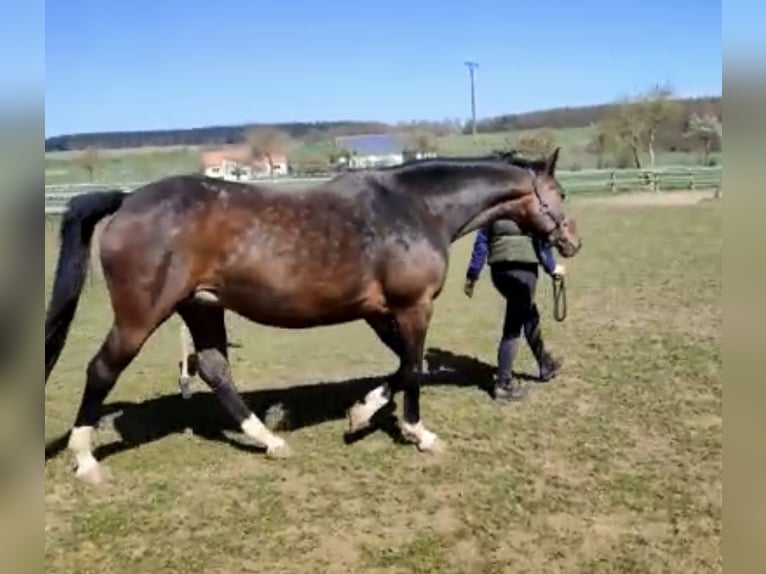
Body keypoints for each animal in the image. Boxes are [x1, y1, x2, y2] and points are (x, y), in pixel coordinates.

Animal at [44, 148, 581, 485]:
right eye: (560, 193)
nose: (572, 242)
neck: (415, 208)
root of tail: (127, 200)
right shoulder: (413, 305)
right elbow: (413, 368)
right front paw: (416, 432)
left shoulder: (380, 312)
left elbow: (406, 366)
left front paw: (361, 413)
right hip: (140, 317)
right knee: (101, 370)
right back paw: (86, 461)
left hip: (201, 307)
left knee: (216, 371)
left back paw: (269, 440)